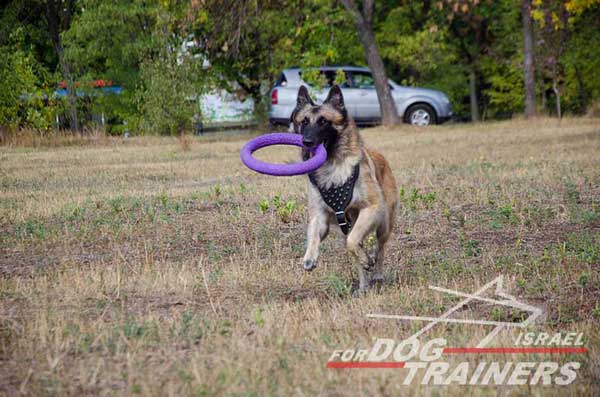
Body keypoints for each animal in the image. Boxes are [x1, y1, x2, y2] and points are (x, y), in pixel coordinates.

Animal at [290, 86, 398, 290]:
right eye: (304, 122)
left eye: (323, 121)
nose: (306, 142)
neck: (332, 167)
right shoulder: (320, 216)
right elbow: (314, 233)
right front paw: (309, 256)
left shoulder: (371, 208)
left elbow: (353, 241)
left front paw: (369, 262)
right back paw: (363, 286)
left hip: (384, 224)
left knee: (379, 248)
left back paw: (377, 273)